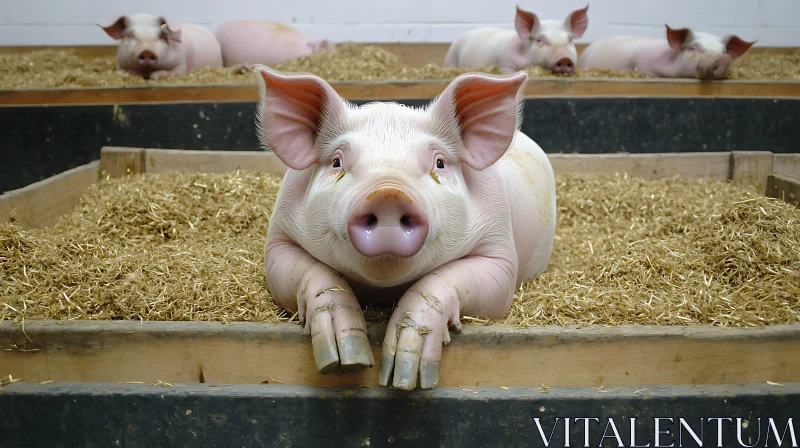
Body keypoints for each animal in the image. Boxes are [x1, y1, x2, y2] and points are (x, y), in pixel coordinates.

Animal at [255, 65, 556, 390]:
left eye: (439, 163)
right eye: (336, 162)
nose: (388, 193)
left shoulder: (499, 254)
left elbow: (443, 284)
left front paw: (403, 376)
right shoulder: (278, 240)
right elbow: (317, 278)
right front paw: (345, 360)